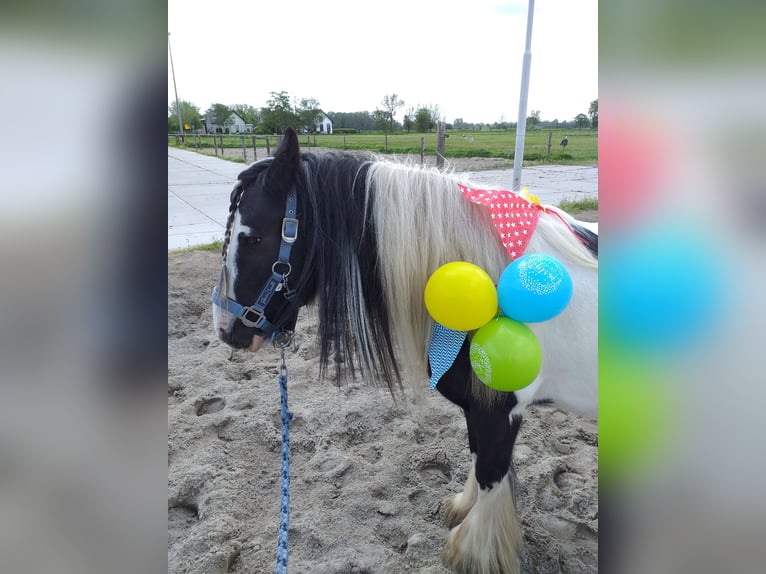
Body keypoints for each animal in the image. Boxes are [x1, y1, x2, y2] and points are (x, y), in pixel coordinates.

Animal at [212, 128, 600, 572]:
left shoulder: (500, 411)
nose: (226, 329)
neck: (484, 279)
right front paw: (460, 509)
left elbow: (491, 472)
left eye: (254, 237)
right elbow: (476, 458)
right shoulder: (479, 409)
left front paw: (472, 553)